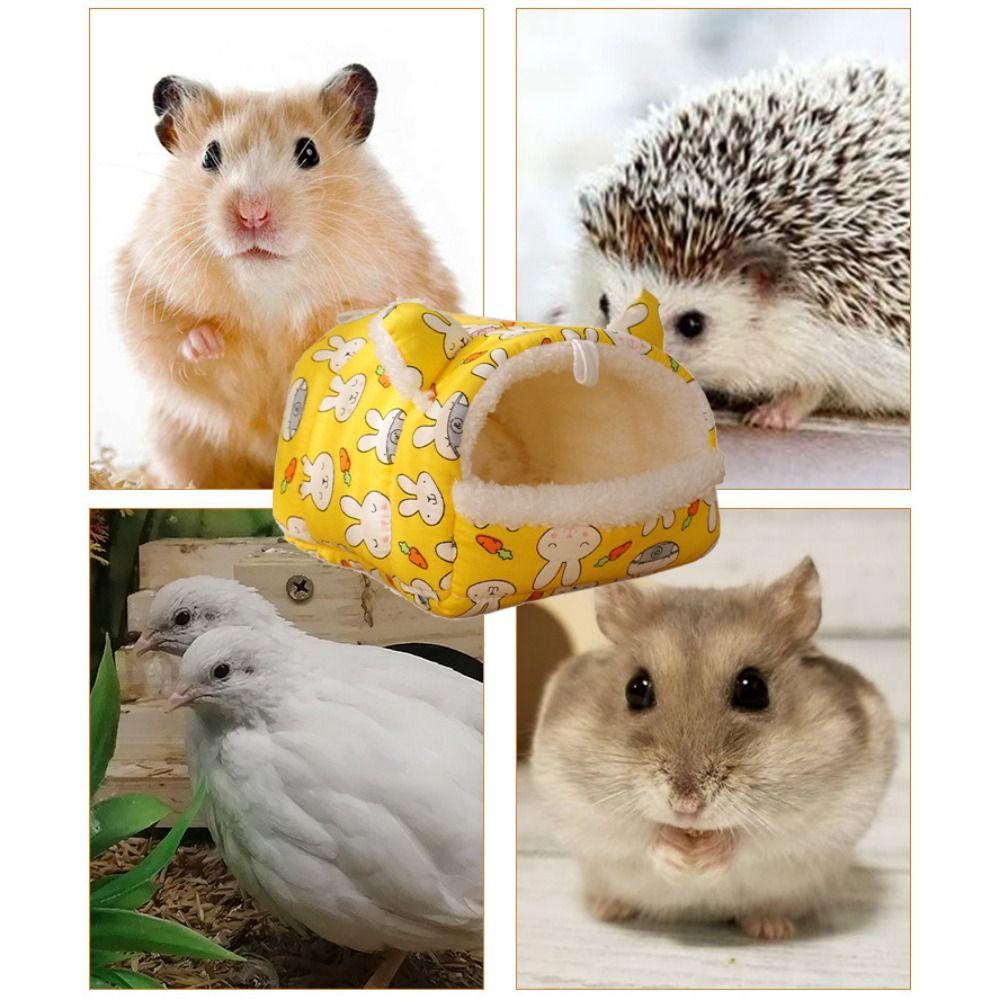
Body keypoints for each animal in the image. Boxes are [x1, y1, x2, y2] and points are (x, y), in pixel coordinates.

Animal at [116, 66, 460, 488]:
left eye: (309, 152)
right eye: (210, 156)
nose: (252, 213)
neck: (268, 292)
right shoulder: (142, 288)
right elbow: (172, 341)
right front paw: (207, 343)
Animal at [531, 558, 896, 939]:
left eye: (753, 689)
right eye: (636, 689)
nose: (686, 806)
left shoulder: (814, 827)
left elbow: (749, 841)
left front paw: (706, 854)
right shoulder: (585, 811)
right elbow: (641, 836)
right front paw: (679, 852)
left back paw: (771, 929)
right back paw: (609, 910)